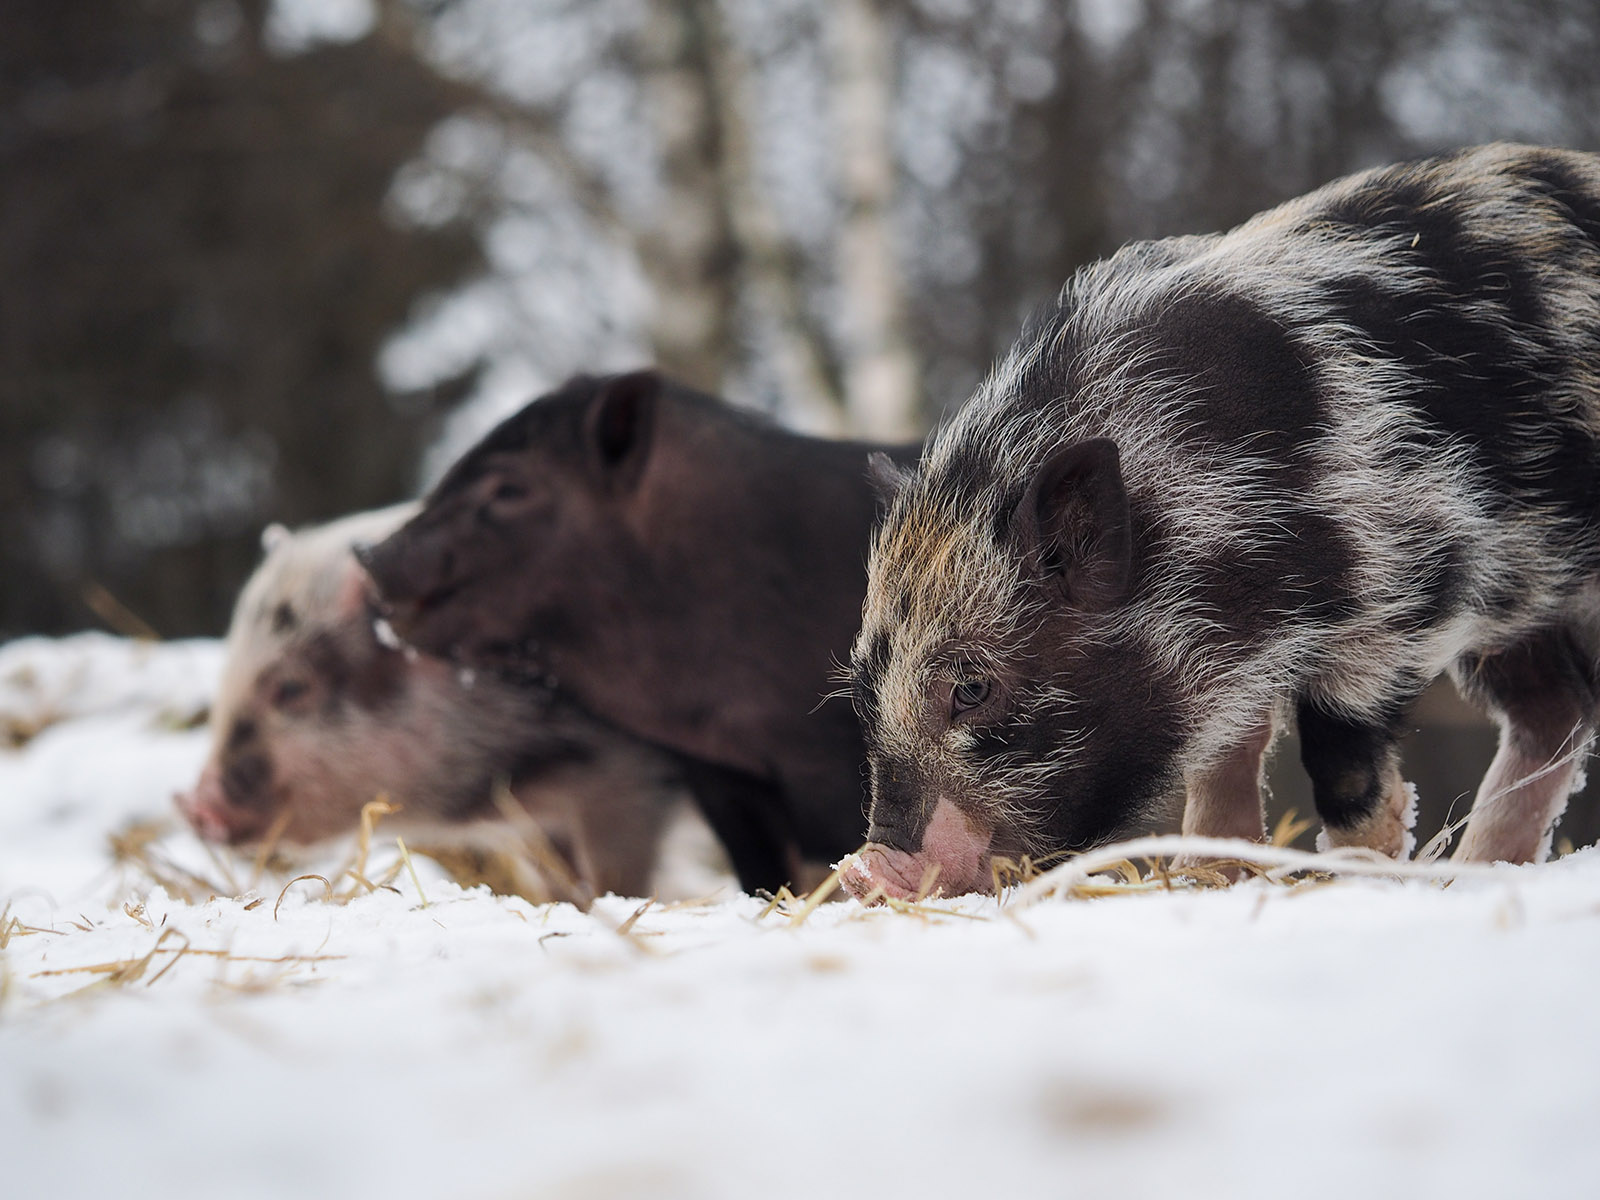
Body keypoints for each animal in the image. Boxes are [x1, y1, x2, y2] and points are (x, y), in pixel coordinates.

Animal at [178, 502, 697, 908]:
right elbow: (556, 879)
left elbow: (618, 875)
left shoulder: (632, 779)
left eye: (290, 688)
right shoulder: (534, 821)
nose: (195, 806)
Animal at [838, 140, 1600, 896]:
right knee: (1557, 712)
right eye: (865, 692)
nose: (870, 865)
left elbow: (1342, 769)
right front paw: (1207, 874)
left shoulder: (1411, 577)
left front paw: (1355, 881)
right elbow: (1224, 756)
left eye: (972, 687)